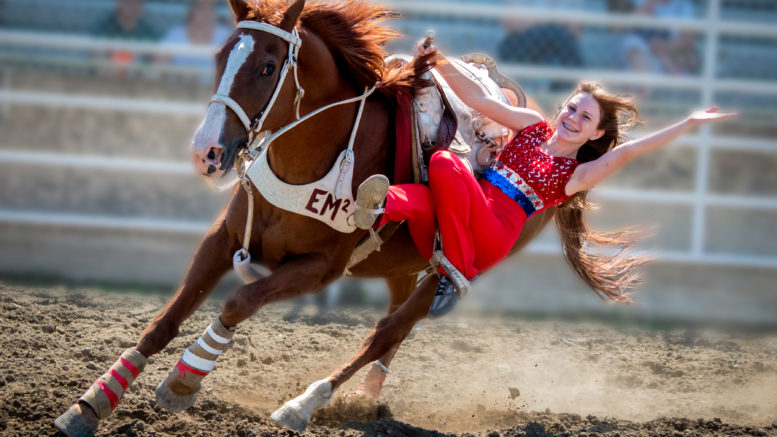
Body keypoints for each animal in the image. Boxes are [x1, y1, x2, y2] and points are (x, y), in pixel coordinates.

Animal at [54, 0, 556, 432]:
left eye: (267, 67)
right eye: (220, 55)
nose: (206, 152)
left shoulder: (319, 269)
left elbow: (239, 301)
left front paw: (184, 381)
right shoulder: (222, 239)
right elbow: (167, 318)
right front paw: (91, 403)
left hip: (455, 265)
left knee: (387, 331)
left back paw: (303, 405)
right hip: (400, 267)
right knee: (393, 332)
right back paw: (365, 399)